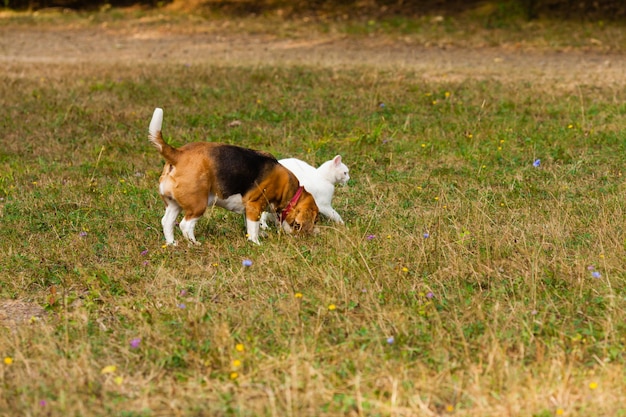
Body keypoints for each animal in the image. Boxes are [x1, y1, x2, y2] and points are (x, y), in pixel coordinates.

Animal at [147, 107, 316, 245]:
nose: (301, 238)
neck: (290, 191)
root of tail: (178, 154)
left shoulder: (248, 210)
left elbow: (250, 226)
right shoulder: (254, 206)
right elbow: (253, 228)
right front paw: (256, 242)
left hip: (173, 204)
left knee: (166, 222)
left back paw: (172, 244)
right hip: (198, 205)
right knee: (185, 225)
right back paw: (195, 243)